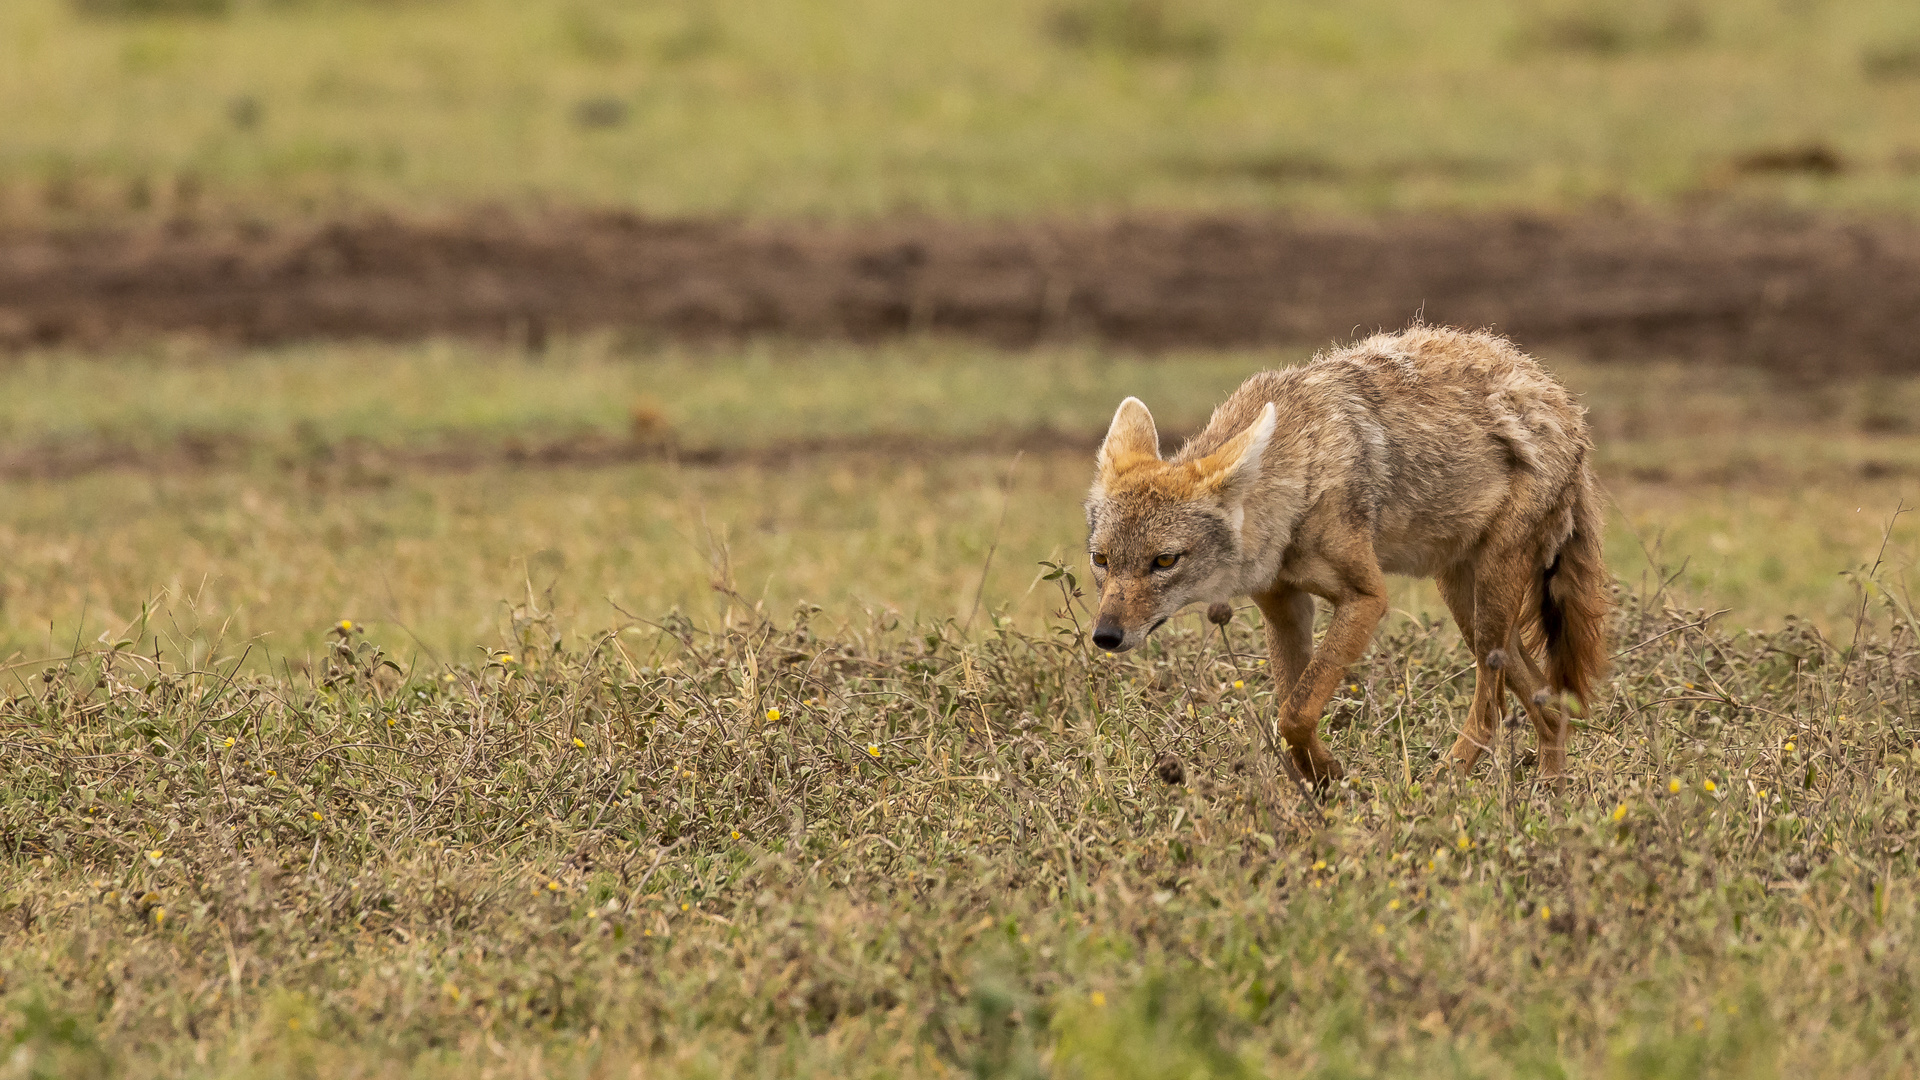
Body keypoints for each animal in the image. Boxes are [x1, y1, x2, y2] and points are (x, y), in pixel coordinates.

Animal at [1090, 322, 1612, 776]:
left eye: (1164, 561)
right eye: (1101, 560)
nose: (1105, 636)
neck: (1296, 483)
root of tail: (1564, 402)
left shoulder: (1366, 599)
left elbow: (1296, 712)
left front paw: (1329, 775)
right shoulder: (1283, 608)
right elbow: (1291, 707)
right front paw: (1318, 779)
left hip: (1488, 611)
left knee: (1494, 711)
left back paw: (1442, 783)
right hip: (1467, 604)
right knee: (1550, 706)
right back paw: (1550, 801)